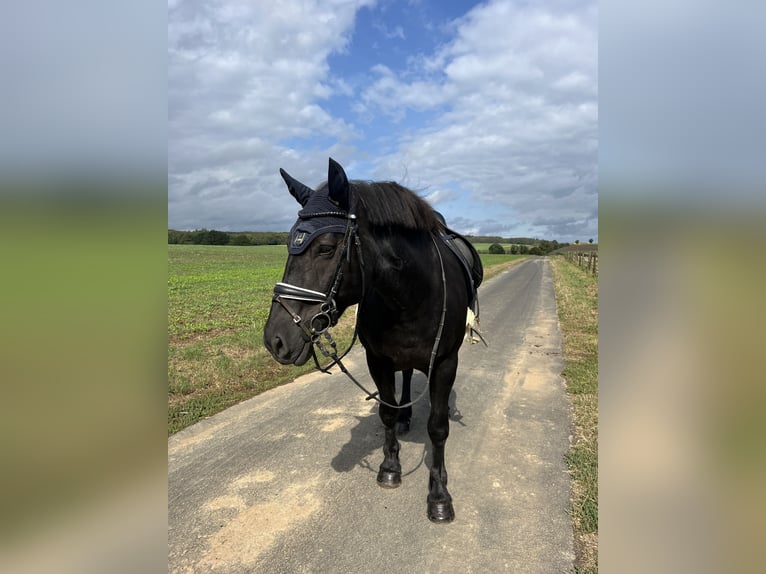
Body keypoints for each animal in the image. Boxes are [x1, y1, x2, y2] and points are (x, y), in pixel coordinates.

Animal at [262, 158, 480, 520]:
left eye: (325, 248)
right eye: (289, 243)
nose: (276, 339)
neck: (412, 294)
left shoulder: (445, 362)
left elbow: (437, 427)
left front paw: (439, 495)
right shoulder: (378, 360)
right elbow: (387, 412)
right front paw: (390, 467)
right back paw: (406, 417)